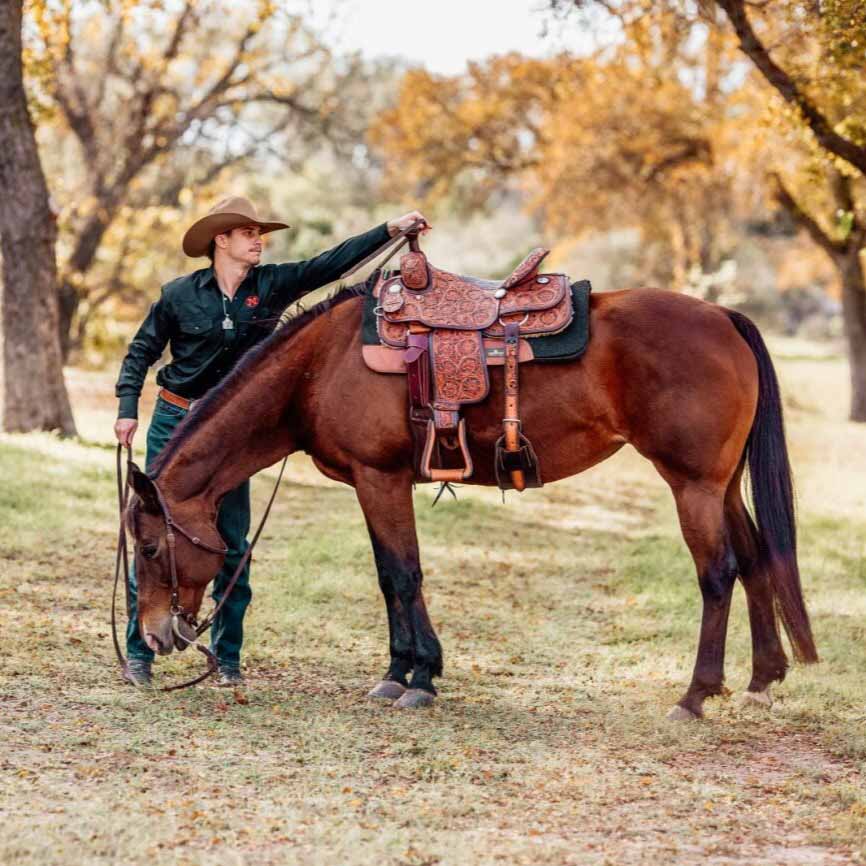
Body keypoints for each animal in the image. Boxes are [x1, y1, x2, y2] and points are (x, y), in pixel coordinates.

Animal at [123, 282, 816, 716]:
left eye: (151, 547)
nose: (156, 637)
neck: (320, 368)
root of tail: (723, 316)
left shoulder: (381, 478)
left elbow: (403, 575)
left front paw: (421, 679)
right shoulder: (375, 484)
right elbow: (389, 577)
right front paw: (397, 674)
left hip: (692, 486)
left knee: (718, 573)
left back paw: (695, 696)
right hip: (721, 487)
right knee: (757, 560)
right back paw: (761, 681)